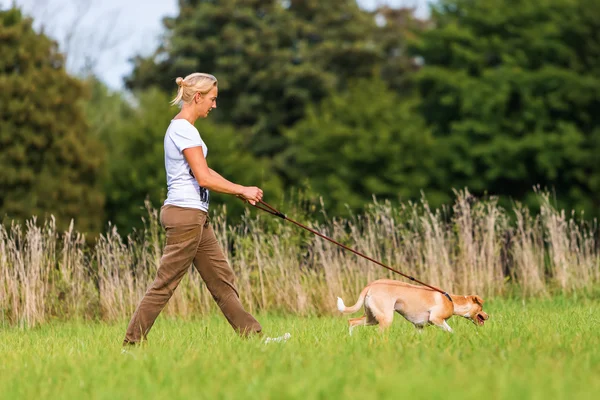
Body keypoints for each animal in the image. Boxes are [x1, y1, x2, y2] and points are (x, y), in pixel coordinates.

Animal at [338, 278, 488, 334]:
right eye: (481, 308)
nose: (488, 316)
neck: (451, 300)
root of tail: (371, 285)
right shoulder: (437, 319)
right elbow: (451, 330)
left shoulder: (419, 327)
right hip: (386, 318)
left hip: (371, 318)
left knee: (352, 321)